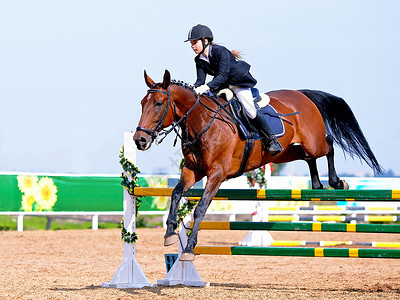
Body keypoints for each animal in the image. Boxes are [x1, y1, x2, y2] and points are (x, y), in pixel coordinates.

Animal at [134, 68, 382, 260]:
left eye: (159, 103)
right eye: (142, 103)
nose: (140, 140)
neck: (203, 122)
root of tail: (302, 95)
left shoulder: (217, 174)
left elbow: (201, 208)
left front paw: (189, 248)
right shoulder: (192, 170)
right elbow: (176, 193)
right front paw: (170, 234)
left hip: (313, 142)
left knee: (328, 145)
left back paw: (337, 183)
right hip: (284, 153)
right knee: (308, 157)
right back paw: (317, 184)